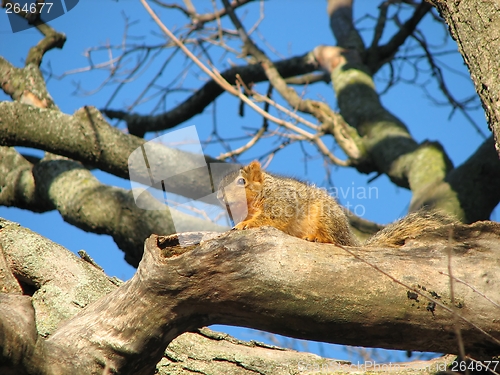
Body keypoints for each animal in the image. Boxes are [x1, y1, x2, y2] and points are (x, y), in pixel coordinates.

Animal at [217, 161, 456, 247]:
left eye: (241, 182)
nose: (219, 196)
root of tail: (352, 241)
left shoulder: (281, 201)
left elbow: (273, 218)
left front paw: (245, 225)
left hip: (326, 218)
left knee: (335, 240)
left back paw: (318, 238)